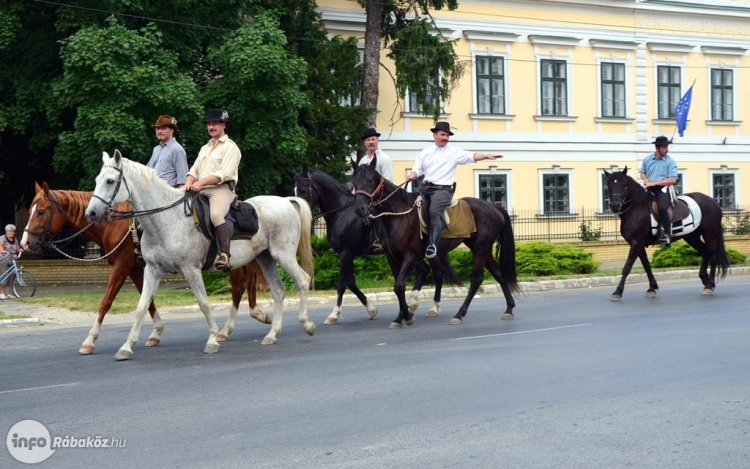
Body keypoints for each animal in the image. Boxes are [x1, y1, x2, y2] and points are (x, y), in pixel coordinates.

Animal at [20, 181, 270, 352]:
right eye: (30, 210)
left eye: (41, 211)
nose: (25, 243)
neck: (115, 225)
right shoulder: (138, 268)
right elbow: (146, 300)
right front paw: (156, 332)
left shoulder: (122, 266)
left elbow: (106, 301)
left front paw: (90, 340)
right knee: (243, 285)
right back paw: (244, 320)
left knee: (239, 286)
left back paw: (232, 326)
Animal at [86, 150, 316, 358]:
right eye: (97, 180)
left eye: (110, 181)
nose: (91, 213)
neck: (167, 219)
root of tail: (285, 201)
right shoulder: (151, 270)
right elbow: (142, 306)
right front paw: (127, 346)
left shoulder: (191, 269)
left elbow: (204, 304)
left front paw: (213, 339)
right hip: (265, 258)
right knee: (278, 290)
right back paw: (272, 333)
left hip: (283, 256)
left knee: (303, 280)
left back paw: (306, 323)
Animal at [292, 166, 434, 324]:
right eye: (295, 190)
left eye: (302, 190)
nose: (298, 214)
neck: (341, 212)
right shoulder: (346, 255)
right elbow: (351, 283)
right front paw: (371, 309)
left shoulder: (346, 253)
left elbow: (342, 284)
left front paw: (334, 314)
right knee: (424, 270)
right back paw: (412, 304)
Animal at [352, 159, 524, 328]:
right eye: (353, 182)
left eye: (370, 180)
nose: (360, 209)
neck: (399, 214)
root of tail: (494, 207)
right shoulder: (392, 257)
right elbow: (399, 287)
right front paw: (401, 316)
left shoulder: (411, 256)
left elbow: (399, 285)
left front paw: (407, 315)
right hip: (483, 250)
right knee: (498, 274)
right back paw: (509, 309)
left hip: (480, 250)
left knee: (476, 279)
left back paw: (459, 314)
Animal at [608, 168, 732, 300]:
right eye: (608, 185)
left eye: (624, 185)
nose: (615, 205)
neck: (637, 208)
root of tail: (714, 202)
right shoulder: (638, 245)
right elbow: (646, 266)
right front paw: (652, 288)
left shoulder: (637, 243)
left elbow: (627, 267)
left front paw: (618, 291)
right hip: (692, 237)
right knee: (705, 252)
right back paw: (705, 279)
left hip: (710, 235)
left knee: (713, 257)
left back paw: (710, 285)